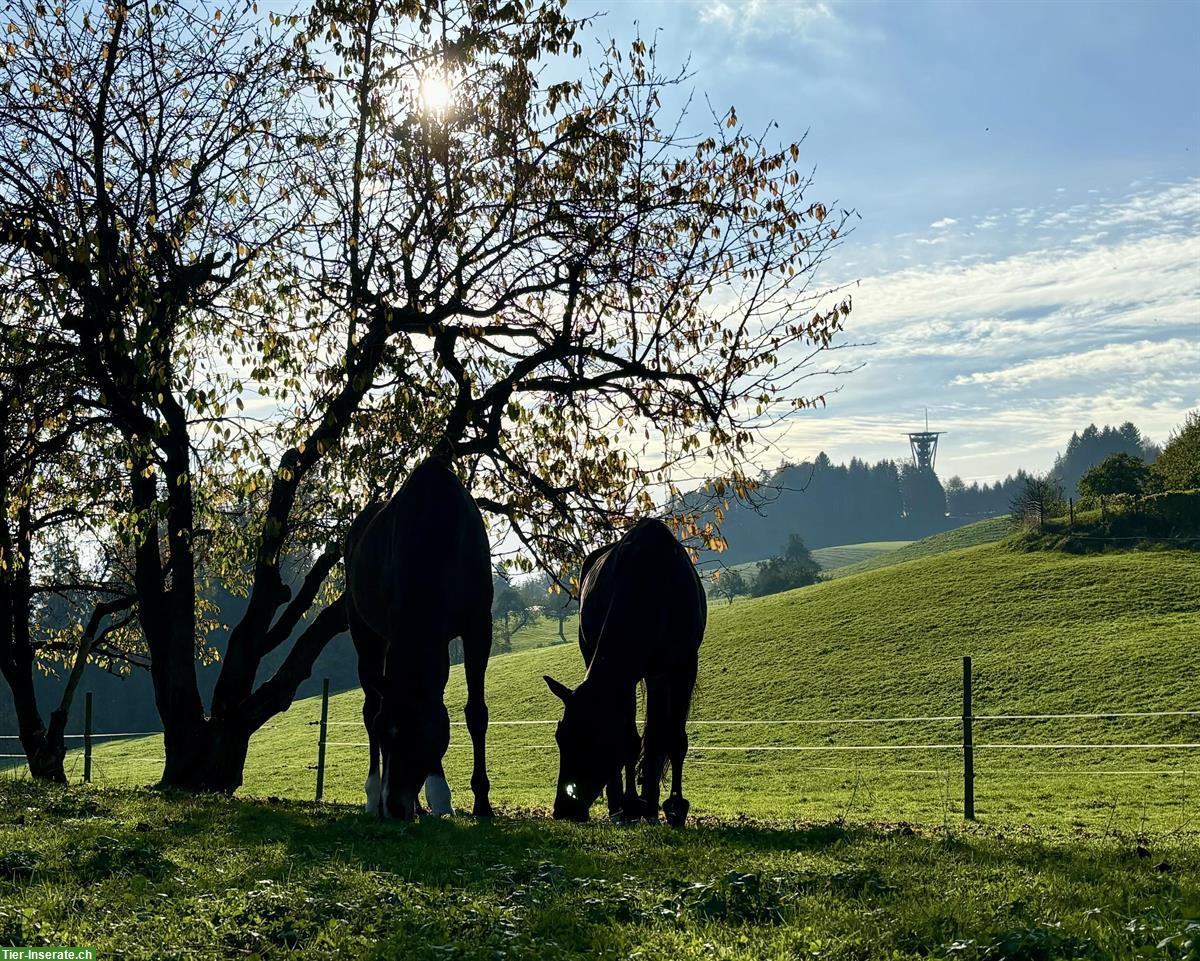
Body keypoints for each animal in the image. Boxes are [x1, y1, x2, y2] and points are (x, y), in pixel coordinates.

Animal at [345, 458, 494, 815]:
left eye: (417, 734)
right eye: (385, 735)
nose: (393, 808)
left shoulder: (479, 626)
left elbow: (475, 713)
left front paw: (481, 803)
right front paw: (439, 796)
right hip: (364, 633)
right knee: (369, 706)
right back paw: (372, 795)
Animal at [542, 518, 700, 825]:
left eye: (591, 740)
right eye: (560, 737)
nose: (564, 810)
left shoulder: (684, 665)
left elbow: (673, 737)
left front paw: (674, 805)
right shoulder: (627, 674)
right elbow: (630, 740)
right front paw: (629, 804)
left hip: (658, 673)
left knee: (657, 732)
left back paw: (650, 801)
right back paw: (622, 804)